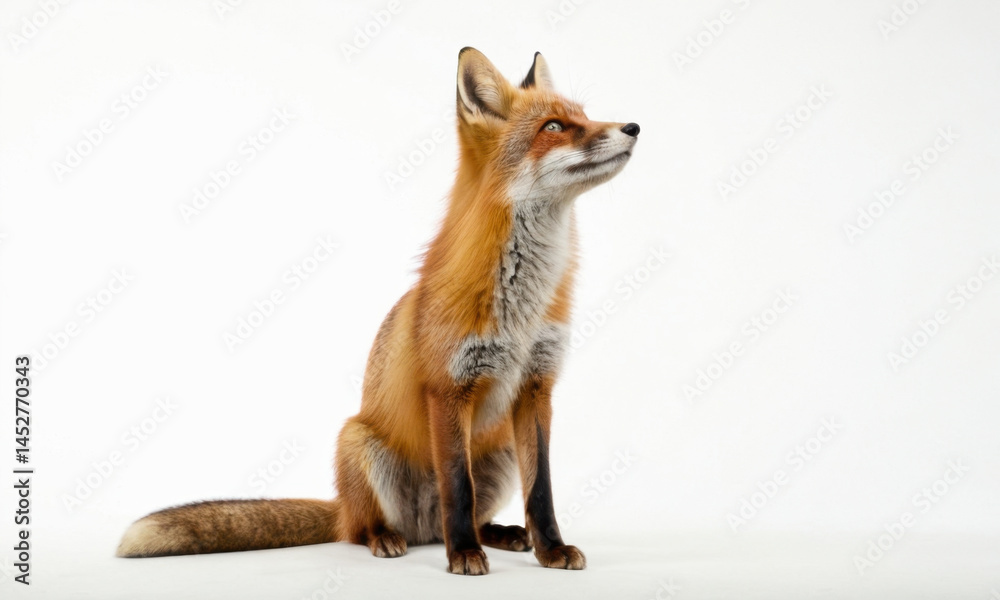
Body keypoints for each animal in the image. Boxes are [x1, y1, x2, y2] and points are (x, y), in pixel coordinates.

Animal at [116, 47, 639, 576]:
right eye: (554, 127)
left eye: (584, 117)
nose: (633, 126)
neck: (522, 310)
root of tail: (419, 528)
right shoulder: (448, 388)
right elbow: (458, 487)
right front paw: (463, 554)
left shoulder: (536, 388)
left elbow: (542, 490)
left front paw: (549, 549)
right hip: (358, 441)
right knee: (369, 527)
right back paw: (395, 538)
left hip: (501, 451)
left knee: (471, 513)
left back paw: (499, 534)